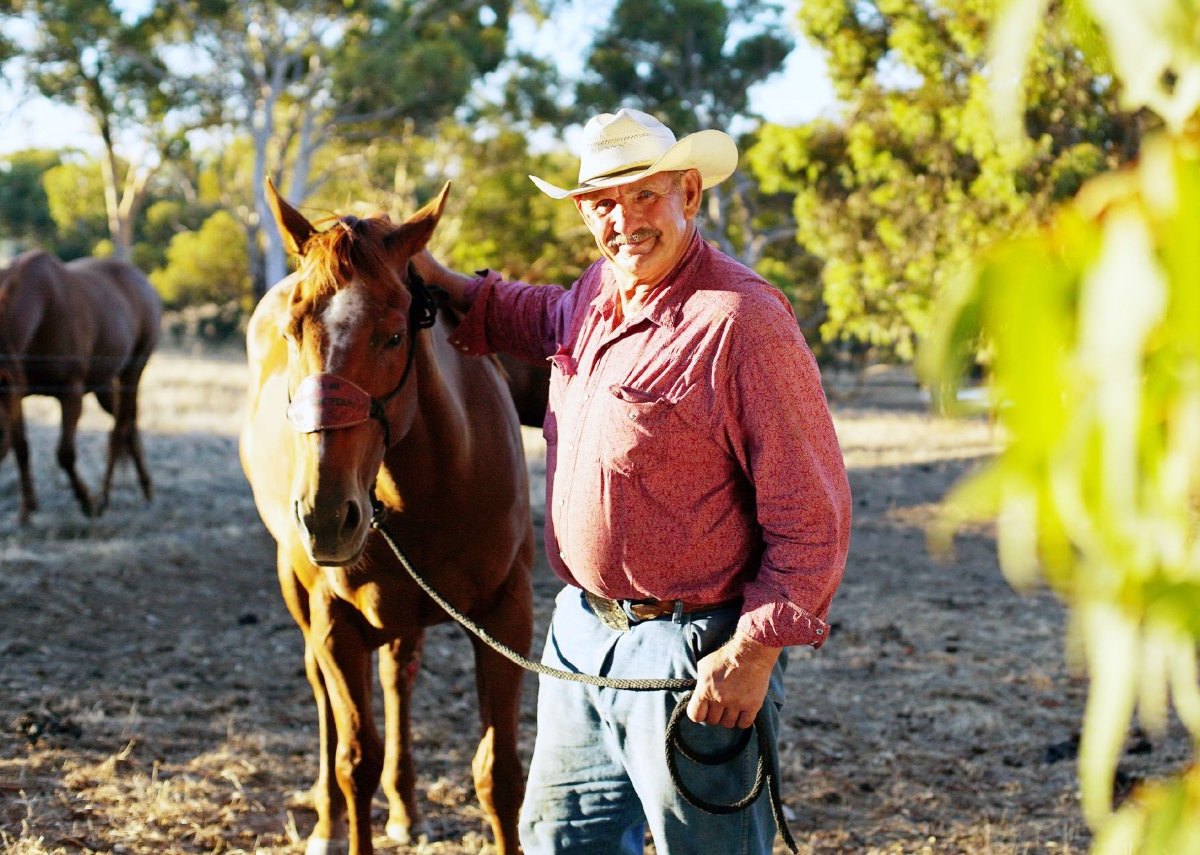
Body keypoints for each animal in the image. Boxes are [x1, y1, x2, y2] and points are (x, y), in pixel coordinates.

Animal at [0, 250, 160, 521]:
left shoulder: (70, 393)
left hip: (132, 372)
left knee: (119, 431)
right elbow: (21, 448)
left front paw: (86, 501)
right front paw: (27, 510)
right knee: (130, 426)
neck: (43, 308)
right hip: (104, 386)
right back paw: (145, 488)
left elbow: (65, 454)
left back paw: (104, 498)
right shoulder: (16, 395)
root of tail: (142, 280)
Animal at [238, 180, 530, 855]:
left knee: (400, 675)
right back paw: (326, 823)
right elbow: (355, 761)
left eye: (394, 335)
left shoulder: (506, 612)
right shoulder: (334, 622)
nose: (325, 516)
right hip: (300, 593)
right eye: (292, 333)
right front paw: (343, 814)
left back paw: (407, 808)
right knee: (324, 693)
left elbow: (499, 773)